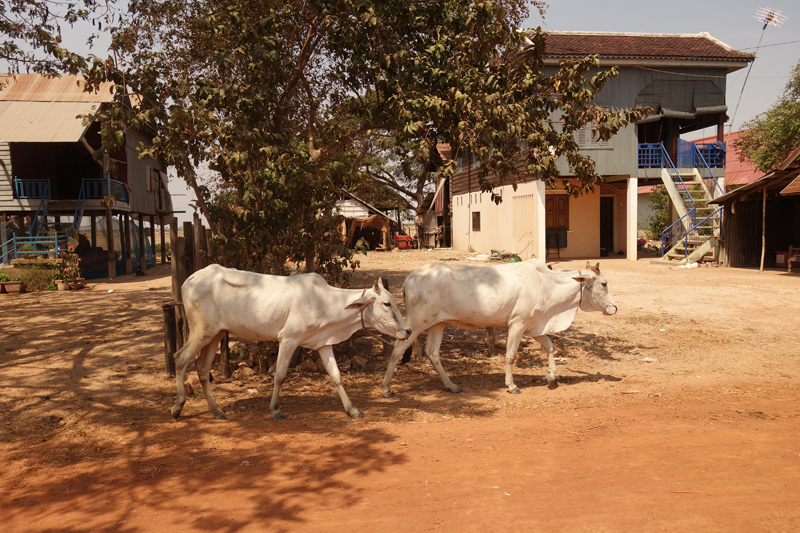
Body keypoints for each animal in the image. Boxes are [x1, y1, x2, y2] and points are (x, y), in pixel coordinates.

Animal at [171, 264, 410, 418]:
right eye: (387, 303)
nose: (407, 330)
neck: (325, 301)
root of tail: (189, 280)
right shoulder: (288, 339)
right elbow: (279, 374)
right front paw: (275, 409)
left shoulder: (323, 343)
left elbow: (336, 376)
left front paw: (352, 409)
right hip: (202, 332)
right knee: (180, 358)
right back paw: (178, 407)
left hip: (216, 333)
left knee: (202, 368)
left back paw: (217, 411)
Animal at [382, 258, 620, 394]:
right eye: (603, 283)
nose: (614, 308)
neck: (547, 285)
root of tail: (409, 278)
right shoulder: (518, 324)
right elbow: (511, 355)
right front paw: (512, 385)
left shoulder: (533, 325)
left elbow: (550, 346)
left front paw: (551, 375)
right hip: (416, 323)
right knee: (398, 349)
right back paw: (386, 388)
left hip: (437, 324)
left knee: (432, 352)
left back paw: (451, 386)